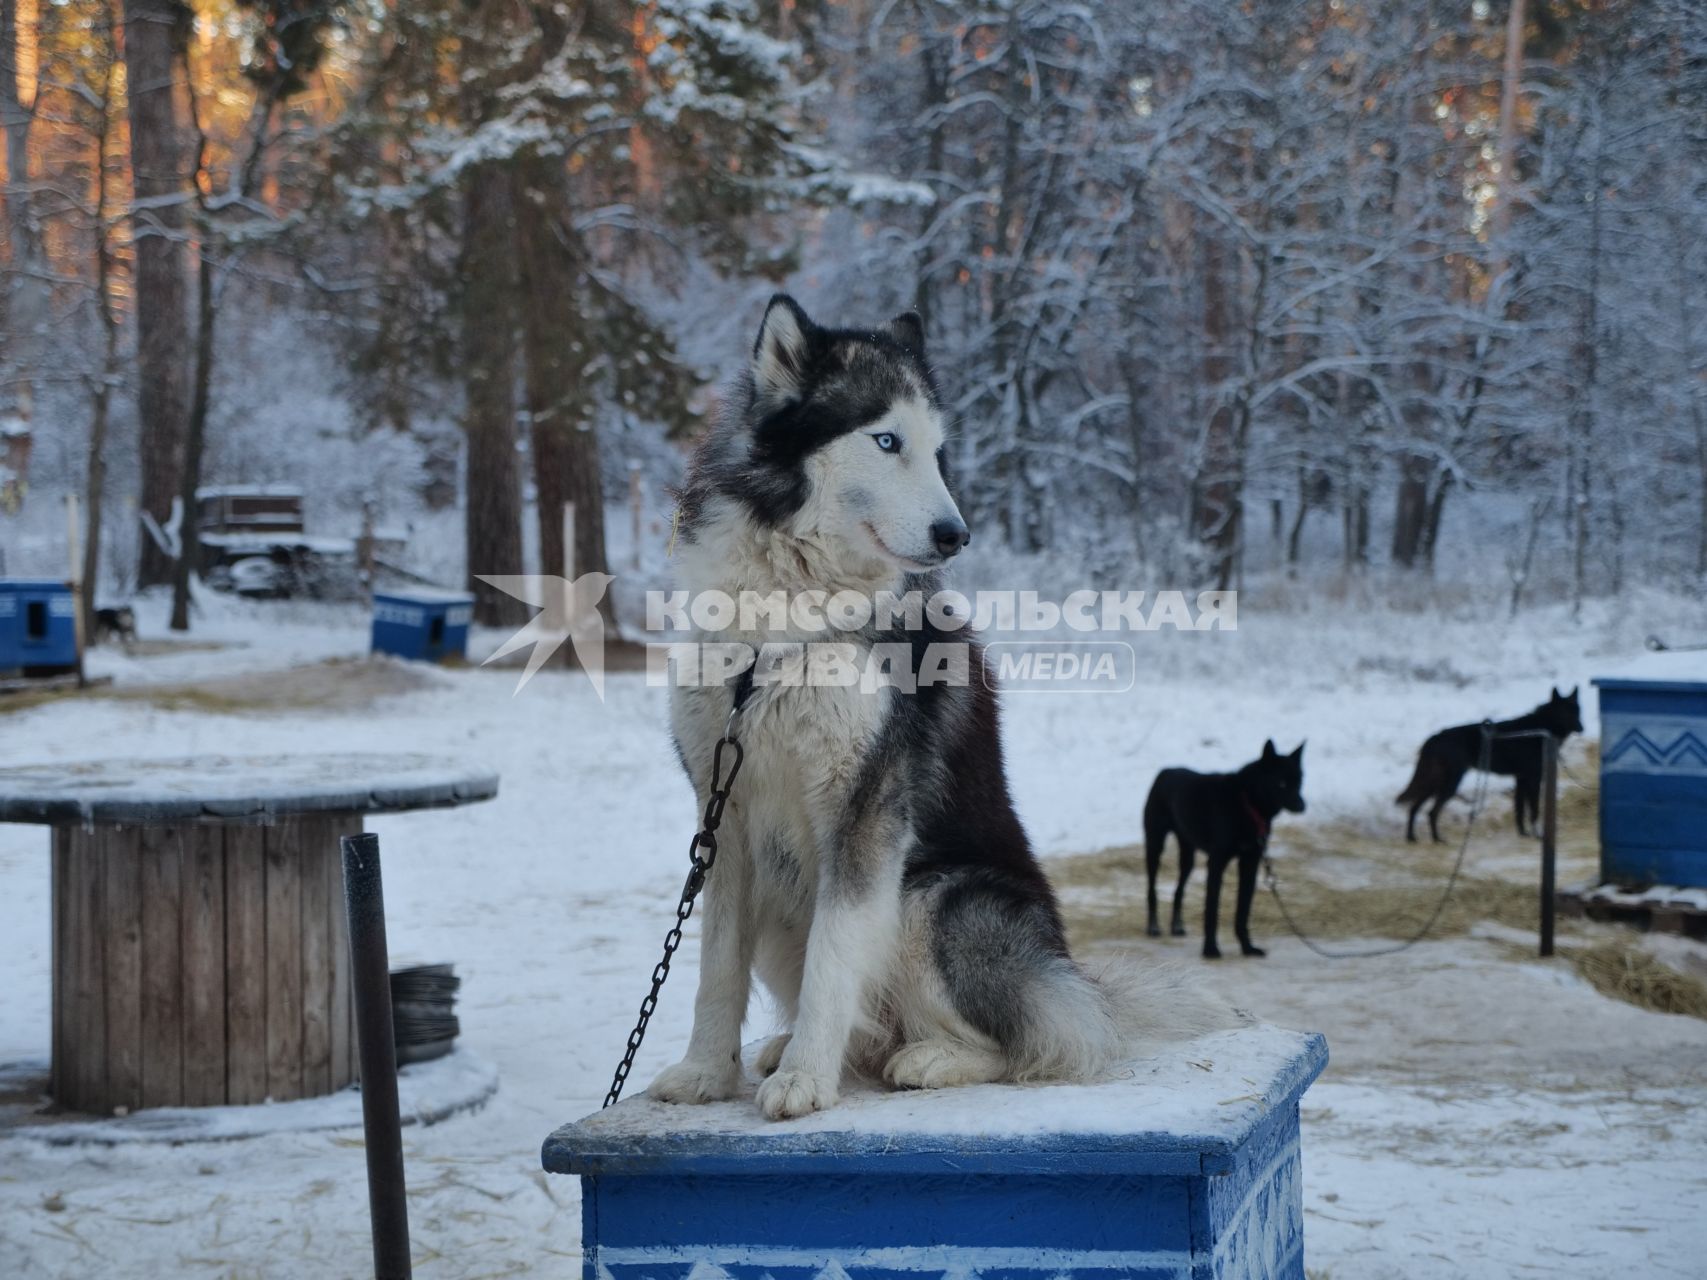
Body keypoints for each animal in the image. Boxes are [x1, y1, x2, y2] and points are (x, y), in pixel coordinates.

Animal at [1147, 740, 1304, 962]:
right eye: (1281, 783)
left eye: (1299, 782)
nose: (1302, 805)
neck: (1246, 803)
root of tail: (1165, 772)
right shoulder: (1216, 862)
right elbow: (1212, 910)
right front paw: (1210, 949)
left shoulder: (1250, 863)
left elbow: (1242, 911)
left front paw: (1248, 948)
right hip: (1154, 846)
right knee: (1151, 889)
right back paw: (1153, 927)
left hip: (1188, 857)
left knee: (1179, 890)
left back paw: (1177, 926)